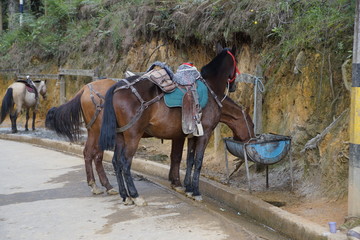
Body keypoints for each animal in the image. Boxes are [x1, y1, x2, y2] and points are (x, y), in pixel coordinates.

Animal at [98, 46, 239, 205]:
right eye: (236, 61)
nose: (234, 86)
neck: (210, 88)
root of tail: (118, 86)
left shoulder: (193, 135)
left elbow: (189, 160)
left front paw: (188, 188)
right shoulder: (205, 134)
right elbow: (198, 161)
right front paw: (196, 192)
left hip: (120, 135)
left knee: (116, 161)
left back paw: (125, 195)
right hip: (133, 135)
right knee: (125, 162)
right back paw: (135, 195)